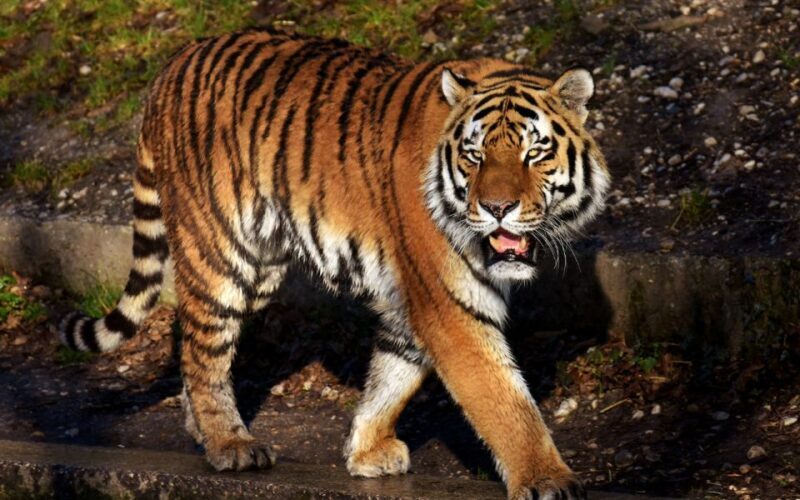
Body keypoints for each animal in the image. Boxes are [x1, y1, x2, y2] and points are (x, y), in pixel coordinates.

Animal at [58, 29, 609, 499]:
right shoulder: (449, 303)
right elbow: (504, 400)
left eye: (534, 153)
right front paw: (547, 480)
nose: (497, 208)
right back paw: (229, 445)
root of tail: (172, 66)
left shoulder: (413, 301)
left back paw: (203, 429)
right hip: (219, 254)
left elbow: (393, 375)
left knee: (192, 342)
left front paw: (365, 451)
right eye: (474, 157)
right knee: (204, 351)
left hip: (262, 268)